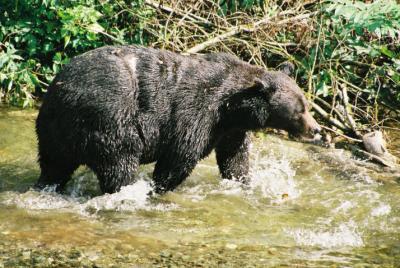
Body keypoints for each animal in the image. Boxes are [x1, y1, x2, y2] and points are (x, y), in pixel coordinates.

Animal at [34, 45, 322, 194]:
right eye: (299, 110)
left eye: (307, 104)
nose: (317, 129)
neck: (231, 107)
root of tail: (59, 91)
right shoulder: (197, 111)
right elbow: (180, 155)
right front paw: (158, 187)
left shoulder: (230, 129)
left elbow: (235, 158)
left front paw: (244, 182)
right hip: (107, 118)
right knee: (119, 162)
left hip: (55, 130)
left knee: (54, 165)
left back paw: (46, 185)